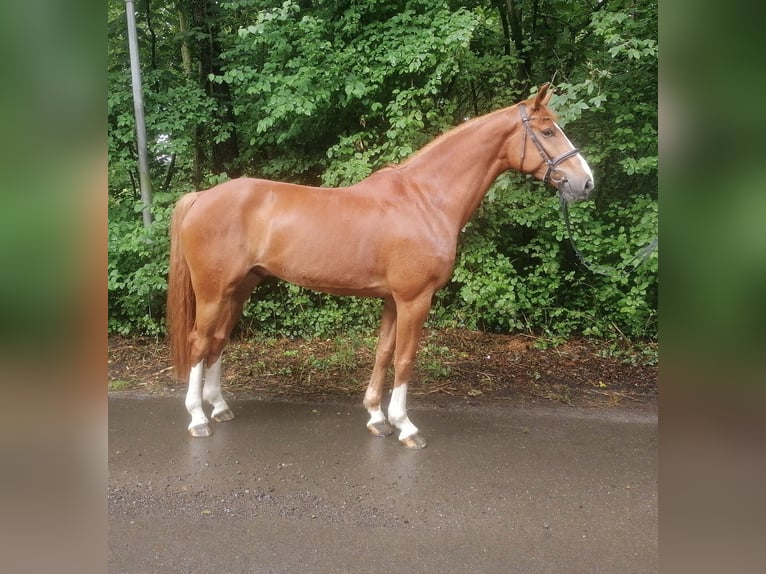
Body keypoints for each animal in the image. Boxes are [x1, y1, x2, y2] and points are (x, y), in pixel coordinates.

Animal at [170, 83, 592, 450]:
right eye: (547, 131)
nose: (585, 183)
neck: (425, 200)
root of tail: (201, 197)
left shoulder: (392, 299)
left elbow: (384, 352)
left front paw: (377, 417)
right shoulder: (415, 299)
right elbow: (405, 359)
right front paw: (407, 426)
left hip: (239, 288)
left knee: (218, 341)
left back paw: (219, 407)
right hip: (212, 291)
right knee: (199, 341)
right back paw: (197, 419)